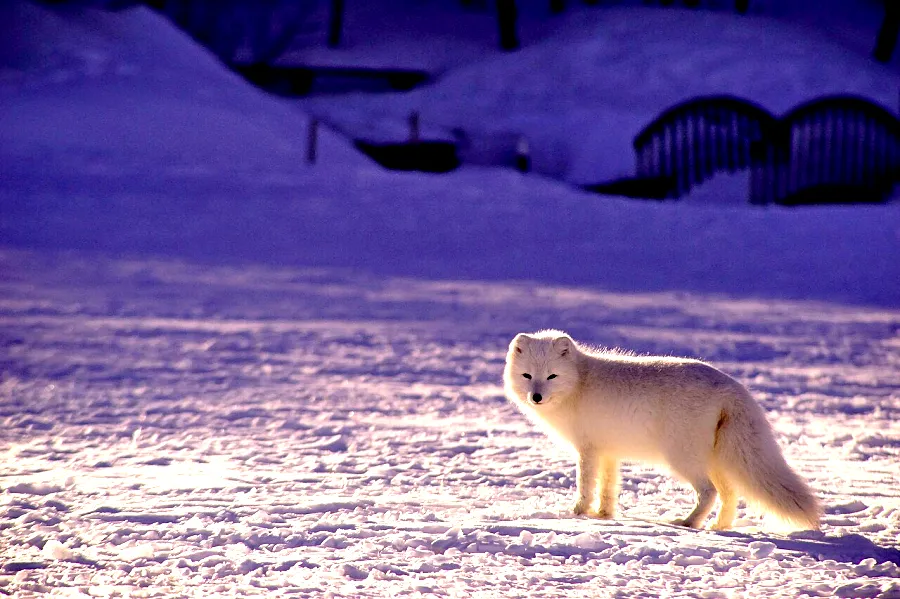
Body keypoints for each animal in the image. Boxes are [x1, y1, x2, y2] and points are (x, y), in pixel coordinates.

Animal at [503, 330, 821, 531]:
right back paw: (719, 526)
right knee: (729, 494)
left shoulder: (588, 450)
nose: (536, 397)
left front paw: (577, 513)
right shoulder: (608, 452)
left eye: (552, 376)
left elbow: (585, 485)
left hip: (682, 458)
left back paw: (689, 523)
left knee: (709, 492)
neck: (579, 383)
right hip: (716, 459)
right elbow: (608, 487)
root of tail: (733, 387)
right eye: (527, 376)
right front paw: (604, 515)